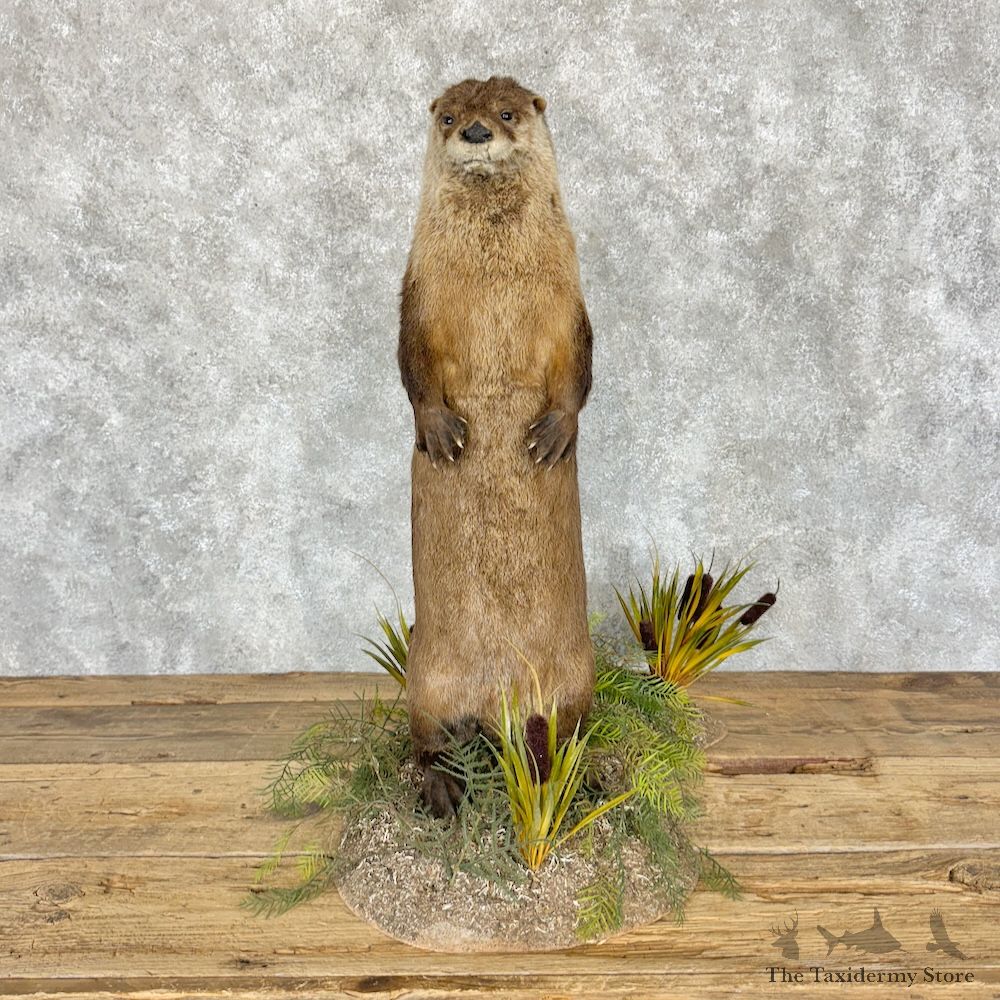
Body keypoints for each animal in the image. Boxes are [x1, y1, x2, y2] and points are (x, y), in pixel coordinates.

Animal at [398, 76, 594, 818]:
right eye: (450, 115)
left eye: (507, 111)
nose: (477, 131)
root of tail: (496, 703)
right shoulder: (416, 290)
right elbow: (410, 358)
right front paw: (439, 429)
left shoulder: (572, 298)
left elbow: (582, 365)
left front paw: (554, 432)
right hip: (424, 676)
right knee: (428, 737)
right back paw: (441, 786)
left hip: (577, 675)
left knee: (565, 728)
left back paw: (566, 775)